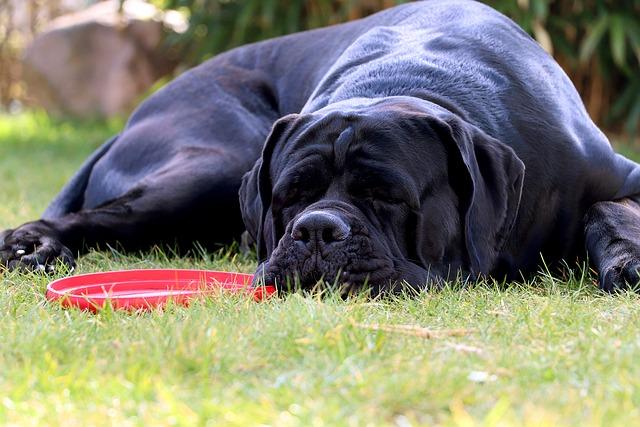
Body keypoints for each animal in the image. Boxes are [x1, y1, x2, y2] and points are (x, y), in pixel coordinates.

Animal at [1, 0, 640, 292]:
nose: (315, 230)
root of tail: (136, 114)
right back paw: (34, 244)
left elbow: (609, 208)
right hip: (218, 162)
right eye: (289, 197)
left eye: (389, 196)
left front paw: (625, 259)